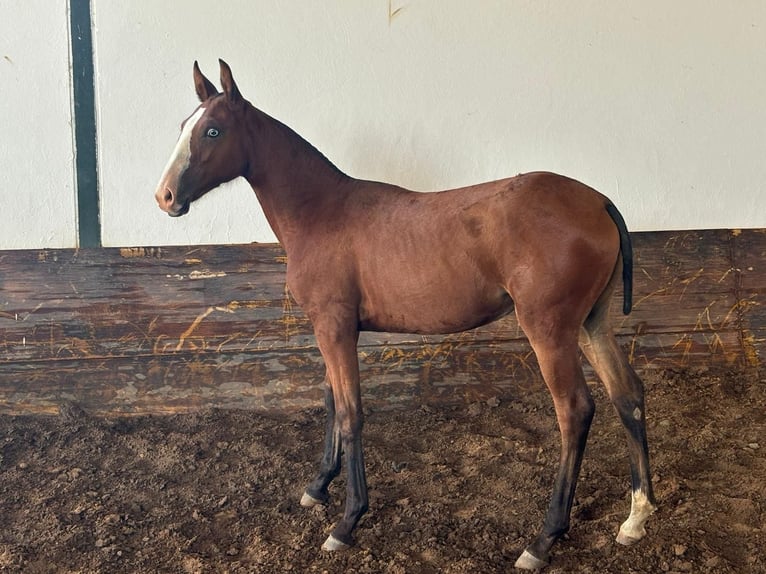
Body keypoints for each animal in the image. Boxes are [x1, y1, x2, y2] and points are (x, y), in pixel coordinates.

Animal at [153, 59, 656, 572]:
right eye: (184, 125)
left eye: (213, 130)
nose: (165, 196)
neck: (322, 212)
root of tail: (599, 202)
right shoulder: (329, 329)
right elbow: (331, 400)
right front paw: (318, 487)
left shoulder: (335, 328)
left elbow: (351, 412)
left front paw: (347, 522)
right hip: (591, 324)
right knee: (627, 393)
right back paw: (636, 518)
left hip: (549, 330)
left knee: (574, 410)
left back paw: (543, 539)